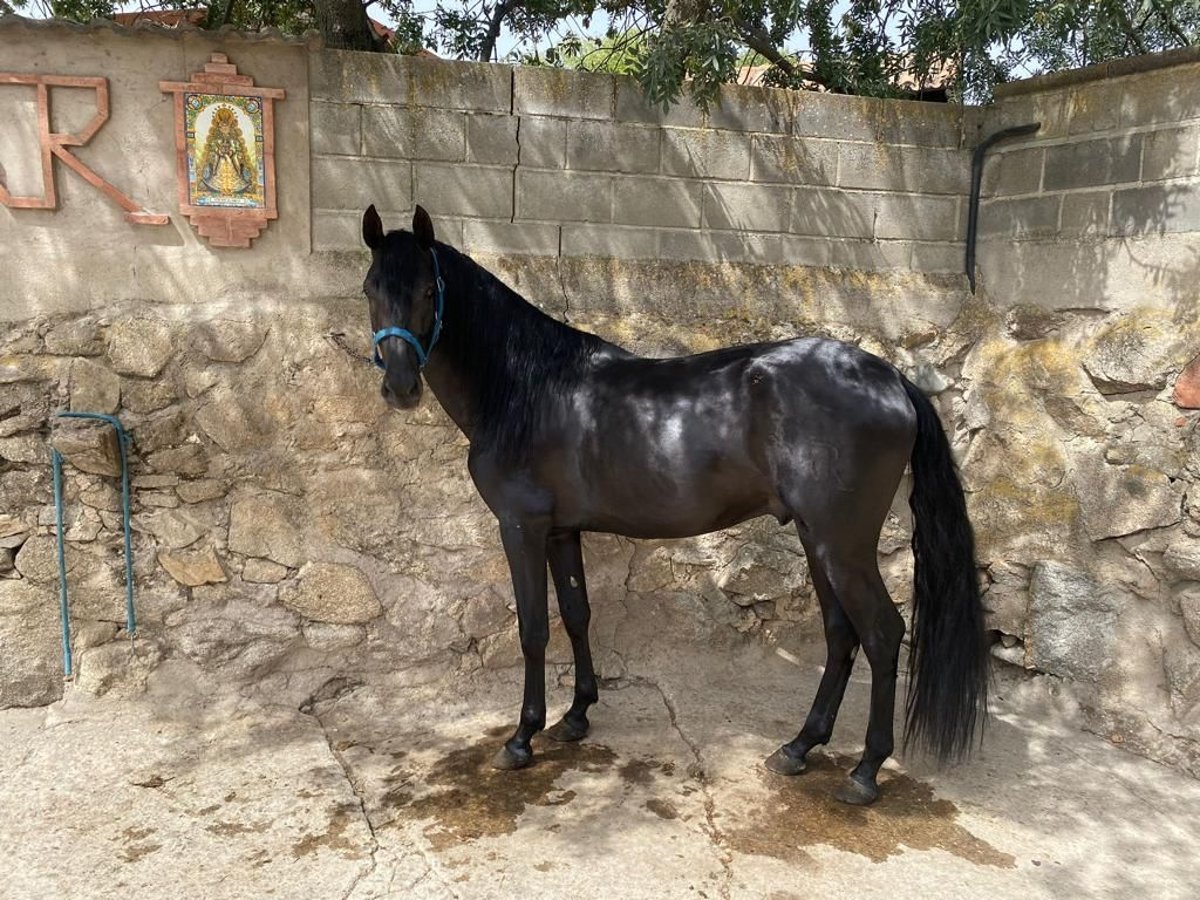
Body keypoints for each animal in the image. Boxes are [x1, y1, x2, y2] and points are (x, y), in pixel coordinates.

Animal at [357, 207, 984, 806]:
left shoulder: (522, 528)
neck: (527, 390)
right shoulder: (561, 532)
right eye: (369, 287)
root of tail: (891, 379)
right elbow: (578, 614)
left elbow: (534, 628)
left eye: (428, 290)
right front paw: (576, 716)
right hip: (816, 538)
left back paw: (865, 772)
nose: (400, 387)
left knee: (881, 633)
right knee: (841, 633)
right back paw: (799, 747)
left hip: (842, 545)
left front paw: (521, 738)